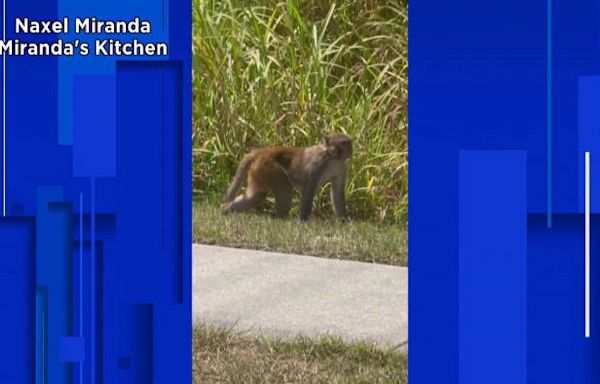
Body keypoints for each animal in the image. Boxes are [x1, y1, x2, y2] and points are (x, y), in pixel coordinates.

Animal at [219, 133, 352, 220]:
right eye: (344, 143)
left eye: (348, 142)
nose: (351, 148)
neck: (333, 157)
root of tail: (261, 152)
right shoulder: (318, 164)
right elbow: (309, 189)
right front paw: (303, 221)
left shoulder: (341, 167)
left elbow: (337, 192)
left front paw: (343, 220)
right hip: (269, 168)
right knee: (285, 190)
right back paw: (281, 219)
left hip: (259, 171)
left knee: (255, 196)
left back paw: (224, 210)